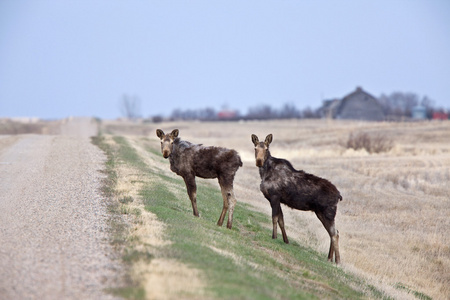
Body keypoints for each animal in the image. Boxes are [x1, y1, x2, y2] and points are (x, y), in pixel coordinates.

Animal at [251, 134, 342, 262]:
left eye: (266, 149)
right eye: (255, 148)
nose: (259, 161)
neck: (264, 173)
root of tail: (339, 195)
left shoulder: (274, 196)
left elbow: (274, 218)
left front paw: (274, 237)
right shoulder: (276, 199)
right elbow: (281, 220)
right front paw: (286, 240)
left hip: (328, 213)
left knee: (335, 234)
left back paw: (337, 261)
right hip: (321, 213)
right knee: (333, 232)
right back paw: (329, 258)